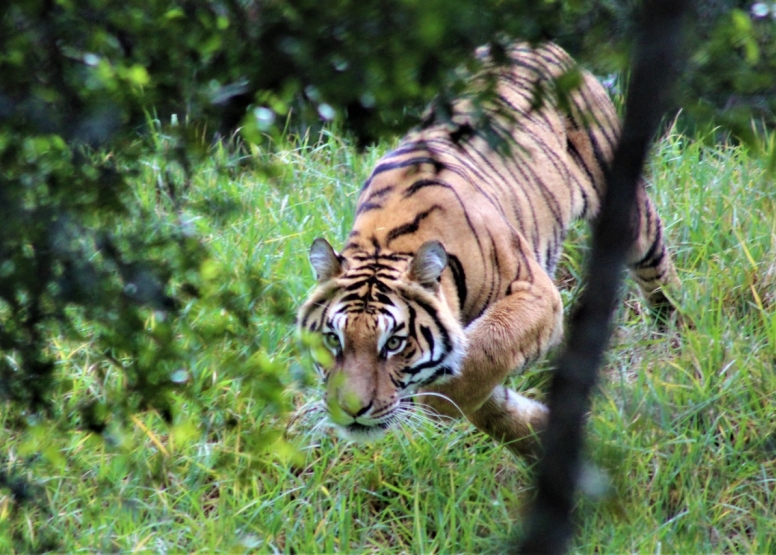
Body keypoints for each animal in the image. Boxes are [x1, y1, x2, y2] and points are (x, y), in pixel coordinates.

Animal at [298, 43, 680, 458]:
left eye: (394, 343)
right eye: (333, 339)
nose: (351, 411)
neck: (384, 240)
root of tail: (535, 44)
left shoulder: (535, 292)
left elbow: (486, 350)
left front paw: (440, 405)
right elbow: (485, 393)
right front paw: (538, 433)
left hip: (626, 210)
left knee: (659, 271)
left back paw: (679, 335)